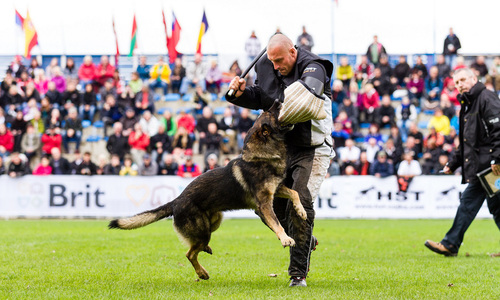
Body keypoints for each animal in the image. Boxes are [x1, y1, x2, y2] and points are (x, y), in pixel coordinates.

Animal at [108, 101, 308, 278]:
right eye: (272, 113)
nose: (278, 100)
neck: (262, 155)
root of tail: (176, 201)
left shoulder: (277, 189)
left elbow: (295, 192)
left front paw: (301, 211)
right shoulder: (264, 205)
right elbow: (277, 223)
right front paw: (285, 238)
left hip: (215, 220)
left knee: (195, 247)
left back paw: (205, 253)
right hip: (203, 230)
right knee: (189, 253)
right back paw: (202, 273)